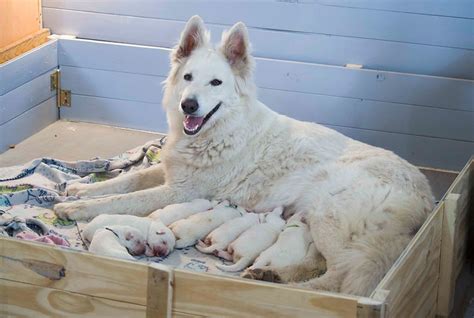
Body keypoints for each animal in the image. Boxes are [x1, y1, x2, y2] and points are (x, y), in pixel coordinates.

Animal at [54, 16, 434, 296]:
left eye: (216, 83)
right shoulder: (171, 172)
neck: (220, 130)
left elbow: (126, 199)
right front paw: (84, 189)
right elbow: (128, 180)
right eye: (188, 77)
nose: (188, 105)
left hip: (331, 217)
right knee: (323, 265)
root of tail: (426, 196)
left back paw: (294, 292)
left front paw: (78, 208)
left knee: (342, 278)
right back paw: (271, 275)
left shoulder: (179, 191)